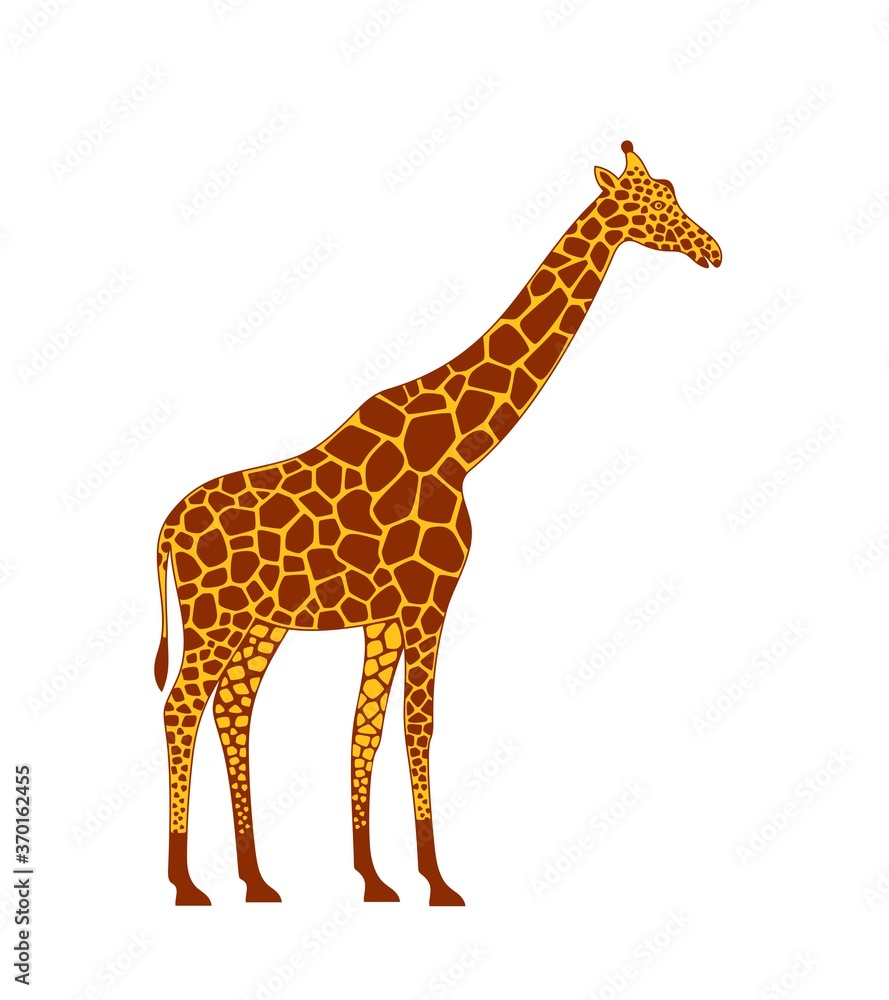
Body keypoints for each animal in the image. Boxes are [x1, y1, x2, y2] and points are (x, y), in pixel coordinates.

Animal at [154, 140, 721, 906]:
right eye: (654, 203)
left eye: (671, 189)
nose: (712, 250)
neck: (458, 447)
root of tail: (165, 529)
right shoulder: (428, 599)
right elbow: (415, 728)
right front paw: (435, 880)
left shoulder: (387, 614)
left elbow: (364, 731)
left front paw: (374, 877)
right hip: (214, 616)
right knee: (180, 708)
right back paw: (186, 883)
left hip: (261, 622)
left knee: (233, 709)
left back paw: (256, 879)